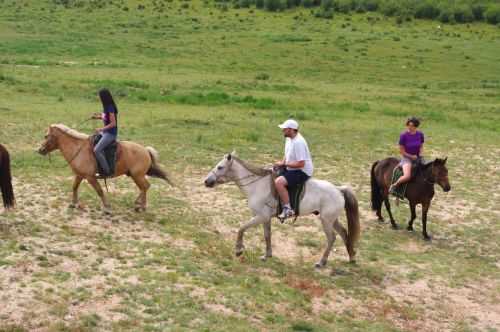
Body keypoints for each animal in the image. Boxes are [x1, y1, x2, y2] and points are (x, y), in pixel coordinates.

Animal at [38, 124, 173, 213]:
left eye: (46, 136)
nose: (40, 150)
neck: (79, 149)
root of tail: (145, 150)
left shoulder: (90, 177)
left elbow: (99, 191)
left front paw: (107, 207)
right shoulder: (80, 175)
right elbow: (75, 187)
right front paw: (73, 203)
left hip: (137, 175)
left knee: (145, 187)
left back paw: (141, 206)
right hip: (135, 176)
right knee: (144, 187)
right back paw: (138, 204)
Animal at [203, 152, 360, 268]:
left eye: (220, 167)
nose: (206, 181)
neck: (257, 185)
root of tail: (339, 190)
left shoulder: (260, 216)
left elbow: (241, 228)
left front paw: (238, 250)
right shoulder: (265, 218)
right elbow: (267, 235)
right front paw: (267, 255)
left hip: (326, 220)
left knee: (332, 238)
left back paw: (321, 262)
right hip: (332, 219)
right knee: (344, 233)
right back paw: (351, 257)